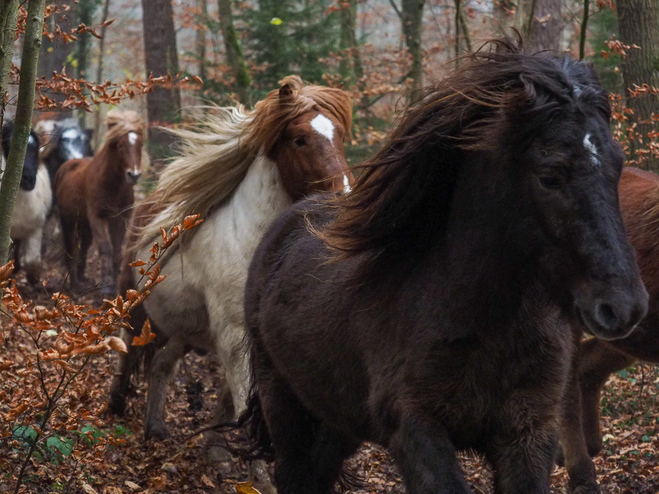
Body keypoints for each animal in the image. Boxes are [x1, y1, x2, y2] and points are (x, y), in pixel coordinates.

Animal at [54, 111, 147, 298]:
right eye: (120, 145)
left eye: (140, 144)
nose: (134, 175)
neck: (112, 186)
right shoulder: (97, 216)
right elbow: (105, 248)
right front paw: (105, 288)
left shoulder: (120, 218)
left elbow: (117, 251)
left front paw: (114, 287)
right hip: (68, 221)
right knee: (70, 249)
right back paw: (75, 284)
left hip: (84, 225)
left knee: (83, 247)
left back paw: (82, 278)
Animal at [109, 76, 356, 490]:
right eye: (300, 139)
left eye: (339, 136)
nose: (344, 198)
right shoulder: (233, 337)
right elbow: (244, 401)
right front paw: (260, 479)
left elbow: (230, 400)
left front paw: (217, 453)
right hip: (138, 308)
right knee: (127, 351)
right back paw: (113, 407)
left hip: (185, 330)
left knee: (161, 365)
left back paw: (156, 427)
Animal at [240, 37, 648, 494]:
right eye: (550, 175)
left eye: (617, 166)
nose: (623, 305)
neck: (482, 321)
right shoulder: (418, 432)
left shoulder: (527, 435)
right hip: (283, 401)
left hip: (337, 418)